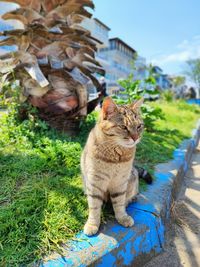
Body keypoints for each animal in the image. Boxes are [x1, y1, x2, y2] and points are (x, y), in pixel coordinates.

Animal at [81, 97, 145, 237]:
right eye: (123, 127)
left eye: (139, 126)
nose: (136, 138)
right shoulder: (95, 182)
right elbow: (94, 207)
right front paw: (92, 224)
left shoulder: (120, 182)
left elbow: (119, 203)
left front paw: (122, 217)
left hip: (132, 178)